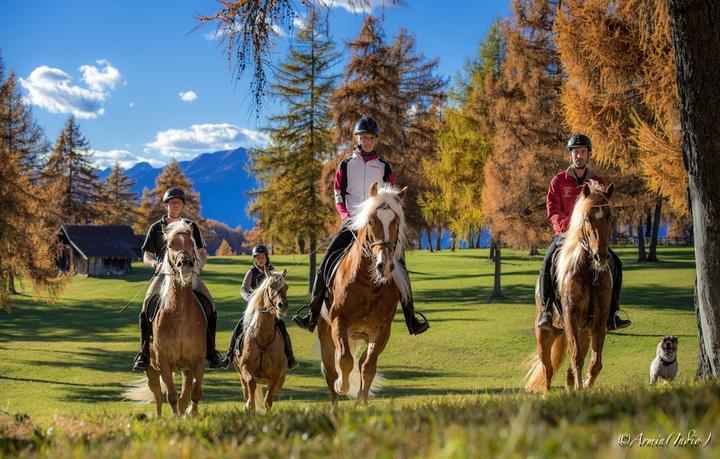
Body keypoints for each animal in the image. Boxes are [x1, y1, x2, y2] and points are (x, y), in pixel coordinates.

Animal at [124, 221, 205, 418]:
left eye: (191, 243)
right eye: (169, 245)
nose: (185, 264)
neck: (180, 313)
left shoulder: (196, 361)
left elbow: (193, 393)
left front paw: (191, 415)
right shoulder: (163, 362)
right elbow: (171, 397)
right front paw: (175, 419)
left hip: (184, 369)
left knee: (181, 394)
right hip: (151, 371)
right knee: (158, 396)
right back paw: (160, 419)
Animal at [238, 270, 292, 414]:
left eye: (286, 287)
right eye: (270, 286)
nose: (283, 306)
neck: (262, 338)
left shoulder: (276, 376)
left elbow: (268, 399)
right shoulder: (245, 368)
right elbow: (251, 383)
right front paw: (249, 406)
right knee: (246, 389)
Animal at [316, 181, 410, 408]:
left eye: (396, 222)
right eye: (370, 221)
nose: (384, 266)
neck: (368, 284)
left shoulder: (382, 330)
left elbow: (368, 367)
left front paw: (362, 402)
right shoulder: (339, 322)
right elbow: (344, 361)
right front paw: (343, 386)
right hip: (325, 334)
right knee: (329, 370)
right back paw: (334, 405)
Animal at [524, 181, 616, 394]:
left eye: (609, 216)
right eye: (587, 217)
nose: (600, 256)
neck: (589, 273)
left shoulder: (599, 320)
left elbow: (595, 363)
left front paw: (585, 387)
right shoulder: (571, 316)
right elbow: (576, 358)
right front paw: (581, 388)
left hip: (584, 332)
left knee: (567, 367)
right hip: (545, 334)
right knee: (547, 368)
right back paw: (548, 392)